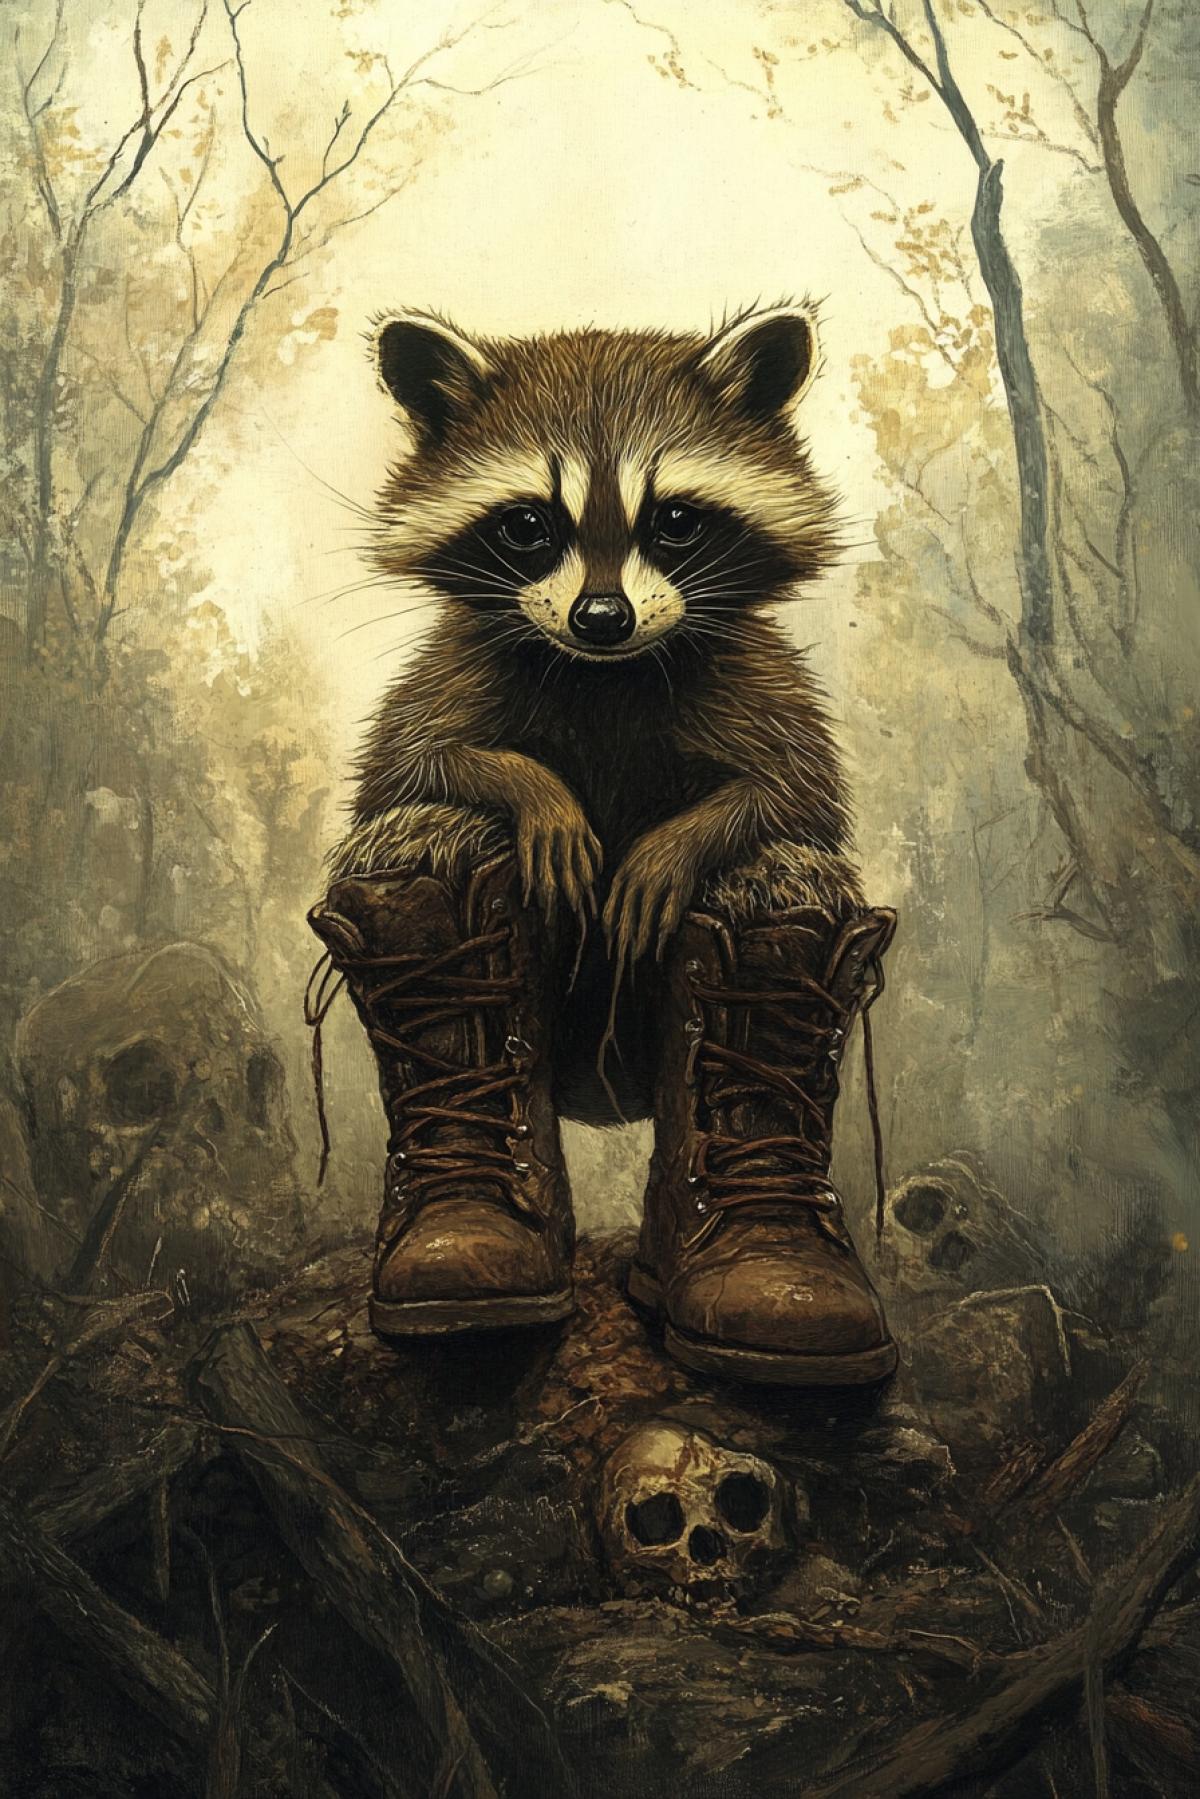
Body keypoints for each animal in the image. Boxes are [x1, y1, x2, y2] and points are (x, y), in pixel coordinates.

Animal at [334, 303, 864, 1122]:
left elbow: (793, 795)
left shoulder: (759, 684)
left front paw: (677, 843)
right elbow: (411, 764)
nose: (603, 617)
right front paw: (534, 790)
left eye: (675, 519)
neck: (605, 677)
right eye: (527, 525)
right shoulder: (452, 675)